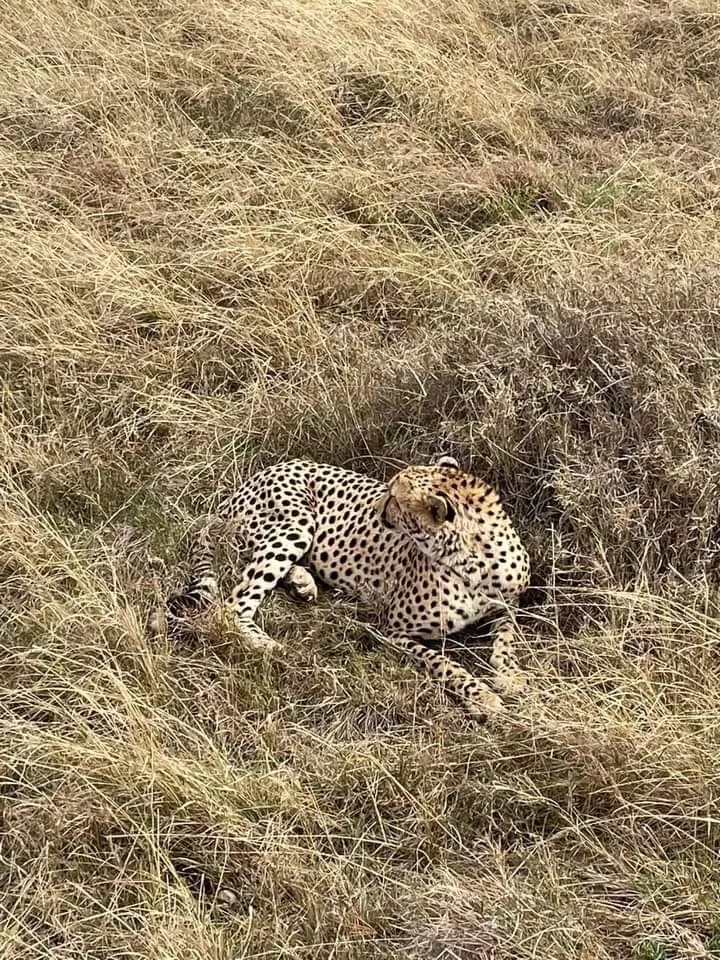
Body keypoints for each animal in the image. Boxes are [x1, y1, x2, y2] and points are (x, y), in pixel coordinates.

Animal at [158, 454, 528, 716]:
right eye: (388, 491)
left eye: (394, 499)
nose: (376, 510)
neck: (473, 559)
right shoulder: (393, 632)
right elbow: (446, 664)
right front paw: (482, 697)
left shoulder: (508, 607)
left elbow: (507, 640)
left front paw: (510, 676)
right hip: (296, 520)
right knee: (234, 604)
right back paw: (271, 647)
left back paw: (302, 581)